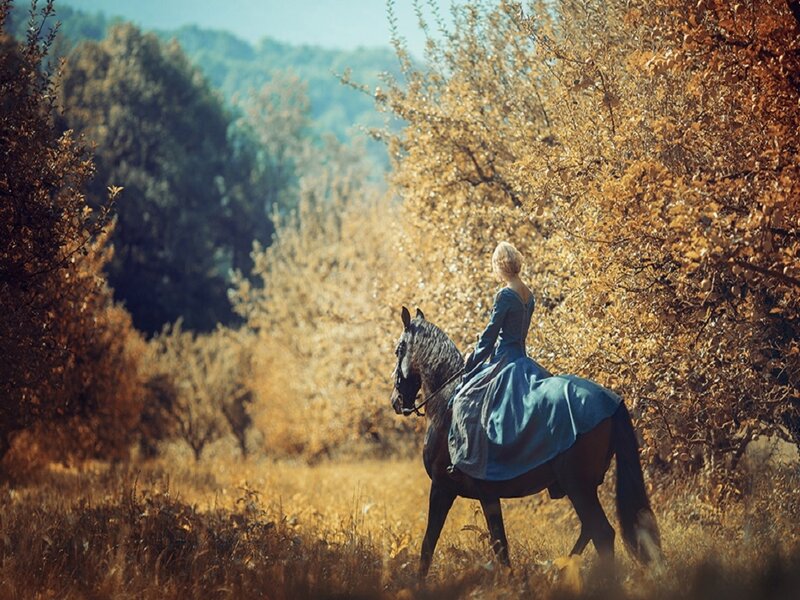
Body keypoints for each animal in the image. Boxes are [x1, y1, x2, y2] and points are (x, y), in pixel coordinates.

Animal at [390, 306, 662, 578]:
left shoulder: (442, 487)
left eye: (398, 349)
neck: (445, 404)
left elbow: (431, 543)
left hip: (579, 486)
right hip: (584, 486)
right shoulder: (487, 495)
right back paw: (560, 570)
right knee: (589, 531)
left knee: (602, 534)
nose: (396, 401)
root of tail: (612, 400)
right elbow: (499, 544)